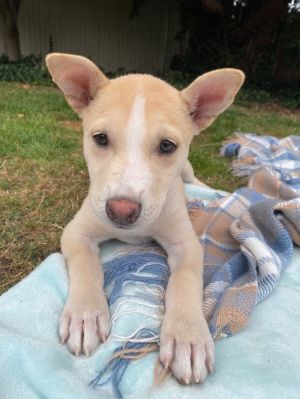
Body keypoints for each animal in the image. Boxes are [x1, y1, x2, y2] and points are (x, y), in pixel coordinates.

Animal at [46, 54, 244, 386]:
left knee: (193, 178)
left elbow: (185, 280)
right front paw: (85, 314)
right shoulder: (77, 231)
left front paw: (187, 337)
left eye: (167, 145)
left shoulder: (186, 244)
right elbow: (87, 265)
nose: (121, 211)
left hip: (187, 169)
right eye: (100, 139)